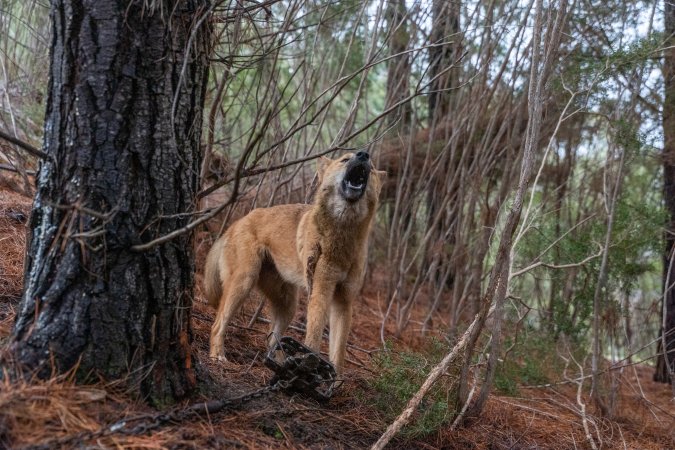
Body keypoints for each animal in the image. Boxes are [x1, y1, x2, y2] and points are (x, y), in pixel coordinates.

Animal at [206, 153, 382, 374]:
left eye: (372, 167)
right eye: (344, 159)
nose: (363, 154)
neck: (343, 235)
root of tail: (236, 223)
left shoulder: (344, 301)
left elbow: (338, 351)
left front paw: (334, 378)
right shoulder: (320, 293)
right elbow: (314, 337)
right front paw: (310, 367)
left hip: (287, 304)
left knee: (272, 341)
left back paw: (281, 365)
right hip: (243, 283)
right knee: (217, 325)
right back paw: (218, 356)